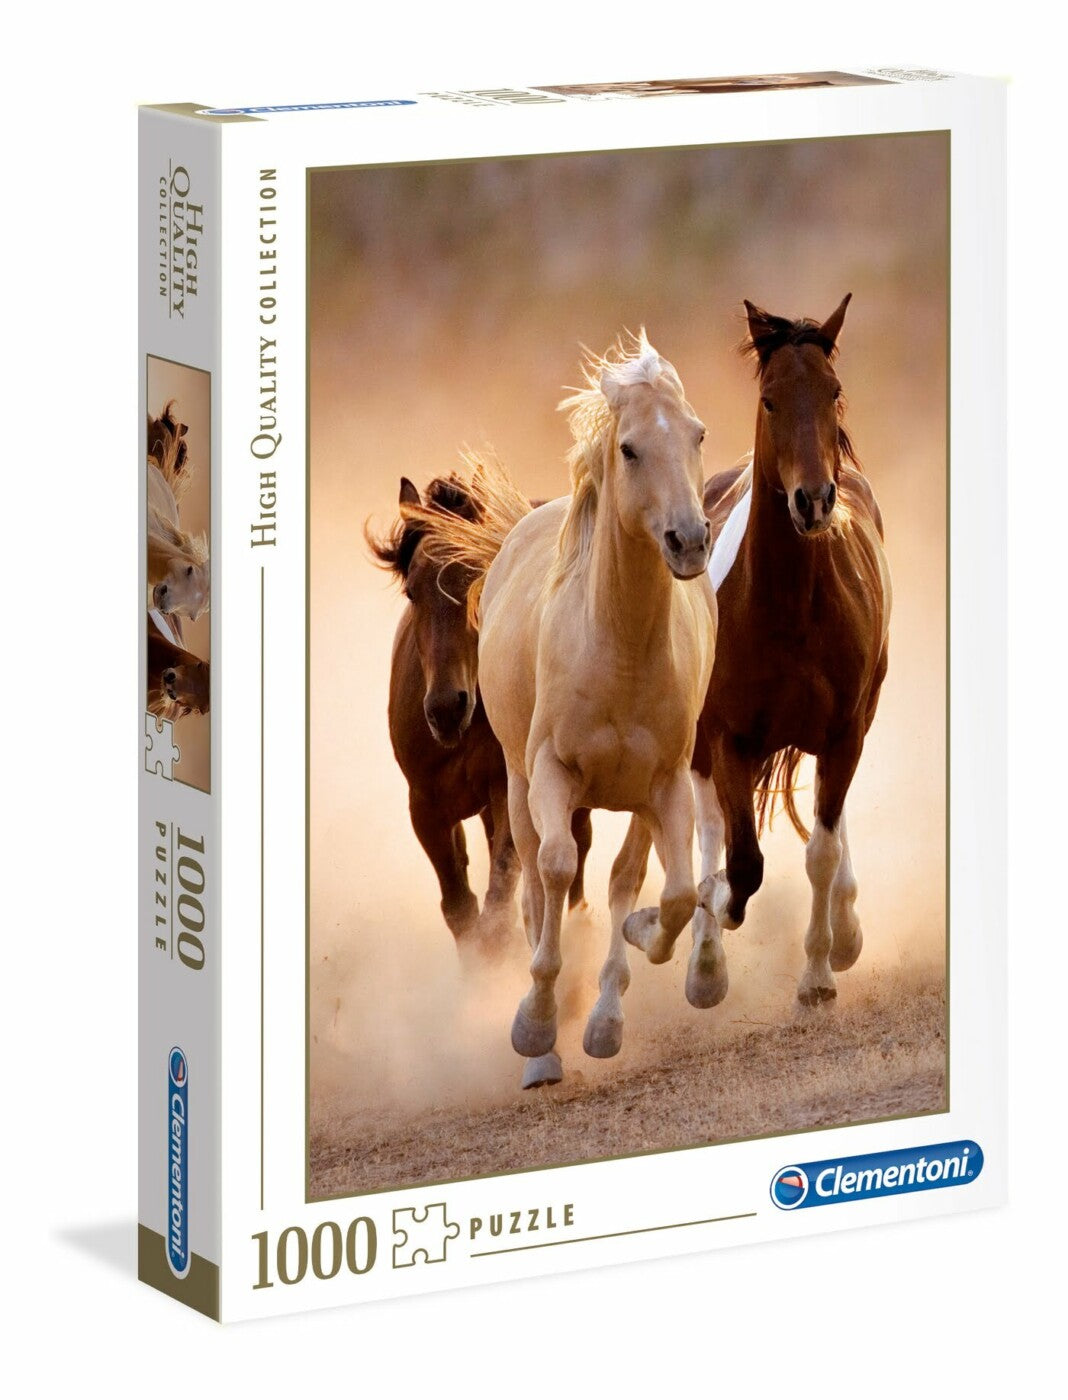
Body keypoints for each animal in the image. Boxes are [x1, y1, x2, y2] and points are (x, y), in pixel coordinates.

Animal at [366, 473, 593, 958]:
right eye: (412, 591)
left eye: (478, 578)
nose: (446, 709)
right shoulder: (426, 807)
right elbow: (460, 907)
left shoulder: (507, 789)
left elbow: (499, 896)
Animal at [427, 336, 716, 1086]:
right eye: (631, 449)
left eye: (697, 434)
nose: (690, 541)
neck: (618, 649)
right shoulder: (551, 775)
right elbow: (554, 872)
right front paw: (534, 1027)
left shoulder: (666, 785)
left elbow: (670, 893)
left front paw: (634, 960)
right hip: (518, 784)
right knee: (535, 879)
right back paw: (545, 1046)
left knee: (623, 879)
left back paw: (605, 1015)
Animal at [684, 295, 891, 1010]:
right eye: (770, 400)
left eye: (833, 392)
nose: (814, 500)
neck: (790, 607)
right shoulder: (727, 737)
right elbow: (742, 860)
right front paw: (716, 921)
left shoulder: (844, 732)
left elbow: (820, 853)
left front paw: (820, 973)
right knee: (710, 828)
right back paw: (705, 959)